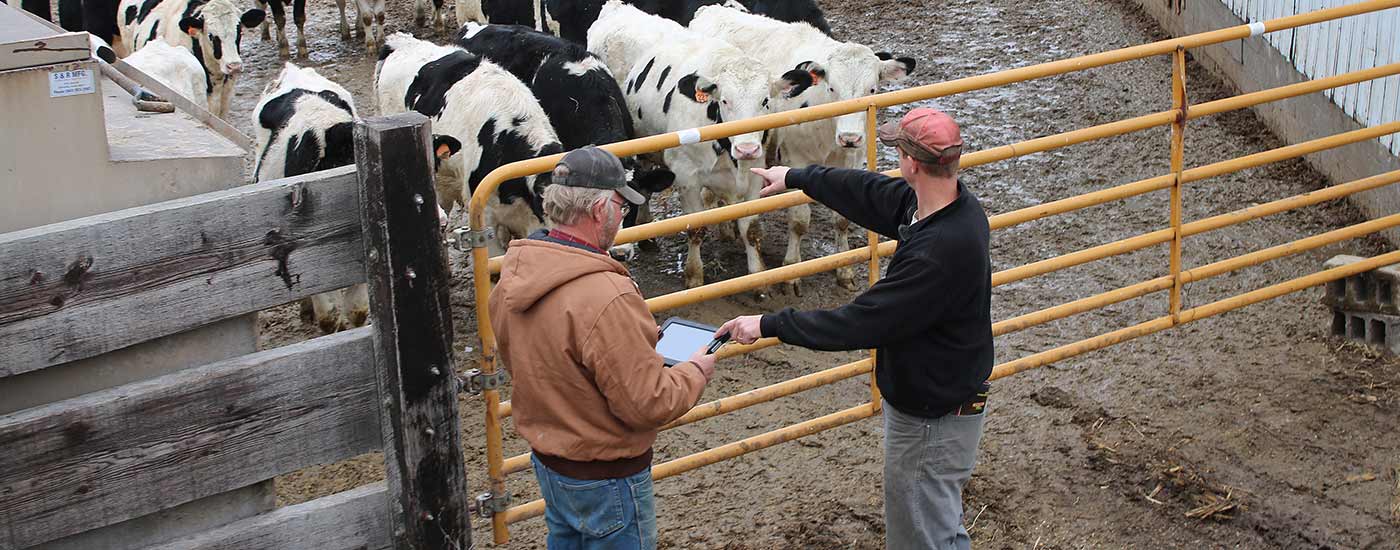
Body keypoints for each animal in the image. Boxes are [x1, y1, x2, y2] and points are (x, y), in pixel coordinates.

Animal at [585, 0, 795, 293]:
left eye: (766, 101)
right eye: (725, 100)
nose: (746, 149)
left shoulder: (755, 173)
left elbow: (750, 228)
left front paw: (758, 277)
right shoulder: (686, 177)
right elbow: (695, 228)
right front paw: (694, 276)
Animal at [691, 6, 918, 291]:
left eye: (872, 89)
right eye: (832, 88)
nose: (850, 137)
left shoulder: (852, 160)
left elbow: (842, 218)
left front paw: (845, 270)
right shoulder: (795, 160)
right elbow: (799, 221)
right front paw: (792, 271)